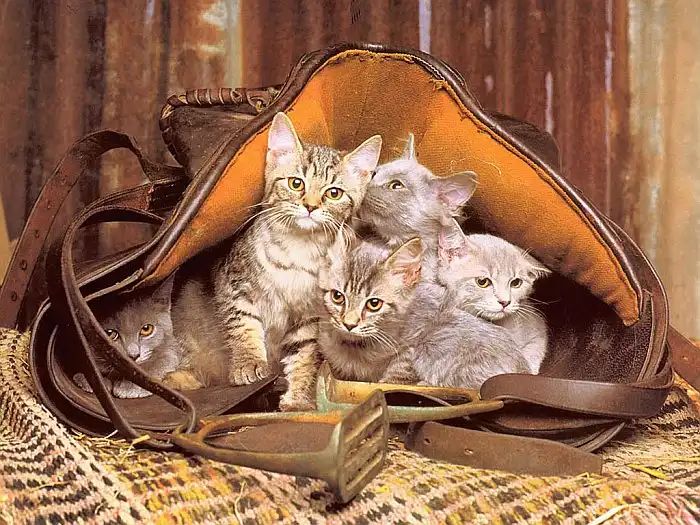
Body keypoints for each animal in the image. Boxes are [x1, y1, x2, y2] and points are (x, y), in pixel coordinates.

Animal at [214, 112, 382, 410]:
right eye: (296, 183)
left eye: (334, 193)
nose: (311, 206)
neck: (298, 253)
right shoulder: (233, 283)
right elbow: (242, 323)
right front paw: (248, 361)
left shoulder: (313, 314)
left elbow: (305, 354)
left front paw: (299, 398)